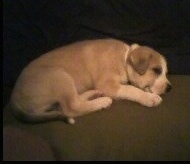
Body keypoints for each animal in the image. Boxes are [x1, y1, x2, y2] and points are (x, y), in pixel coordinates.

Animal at [10, 38, 171, 123]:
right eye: (157, 70)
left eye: (165, 72)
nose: (170, 88)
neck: (124, 58)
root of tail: (14, 97)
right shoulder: (108, 85)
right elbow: (131, 89)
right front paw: (150, 98)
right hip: (60, 75)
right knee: (71, 107)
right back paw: (102, 101)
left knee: (72, 101)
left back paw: (93, 94)